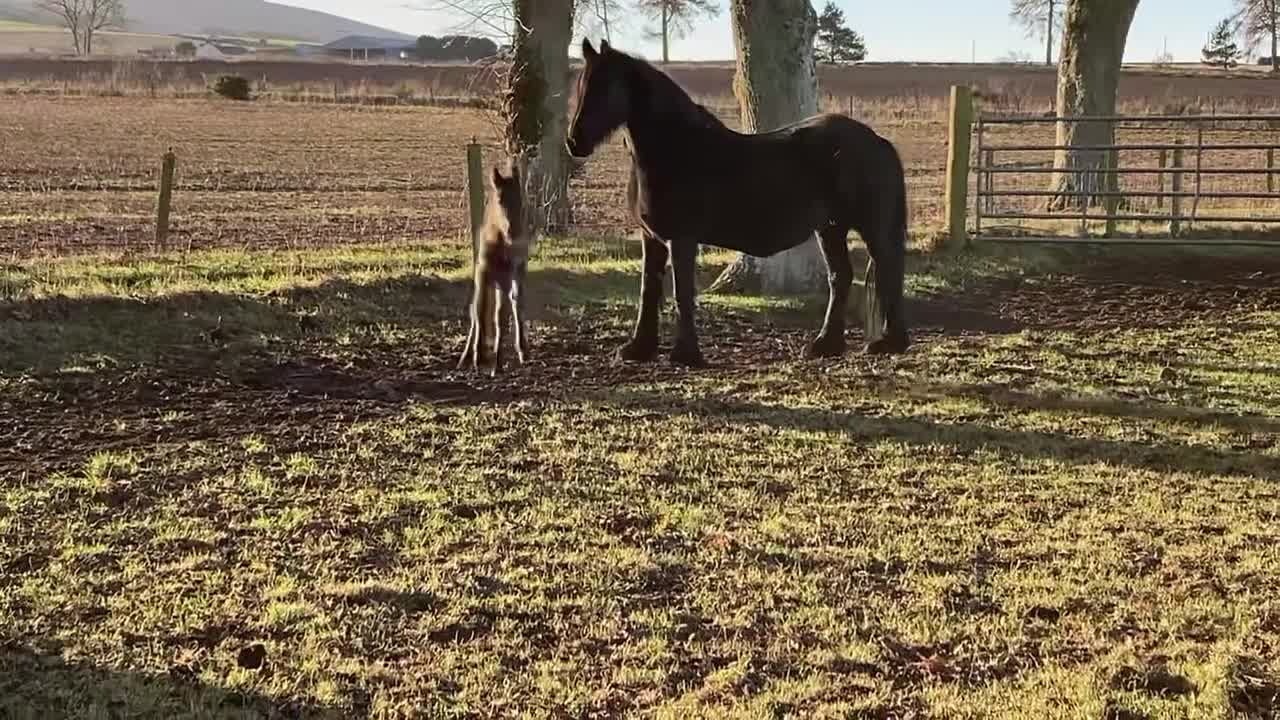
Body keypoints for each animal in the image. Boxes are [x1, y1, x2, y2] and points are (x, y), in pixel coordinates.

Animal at [568, 39, 911, 363]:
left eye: (606, 87)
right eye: (582, 85)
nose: (574, 142)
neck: (676, 148)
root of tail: (877, 141)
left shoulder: (682, 238)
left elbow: (682, 292)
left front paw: (686, 354)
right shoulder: (651, 238)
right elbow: (648, 290)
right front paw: (639, 348)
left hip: (870, 227)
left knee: (888, 269)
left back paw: (888, 343)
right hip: (831, 227)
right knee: (841, 277)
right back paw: (825, 345)